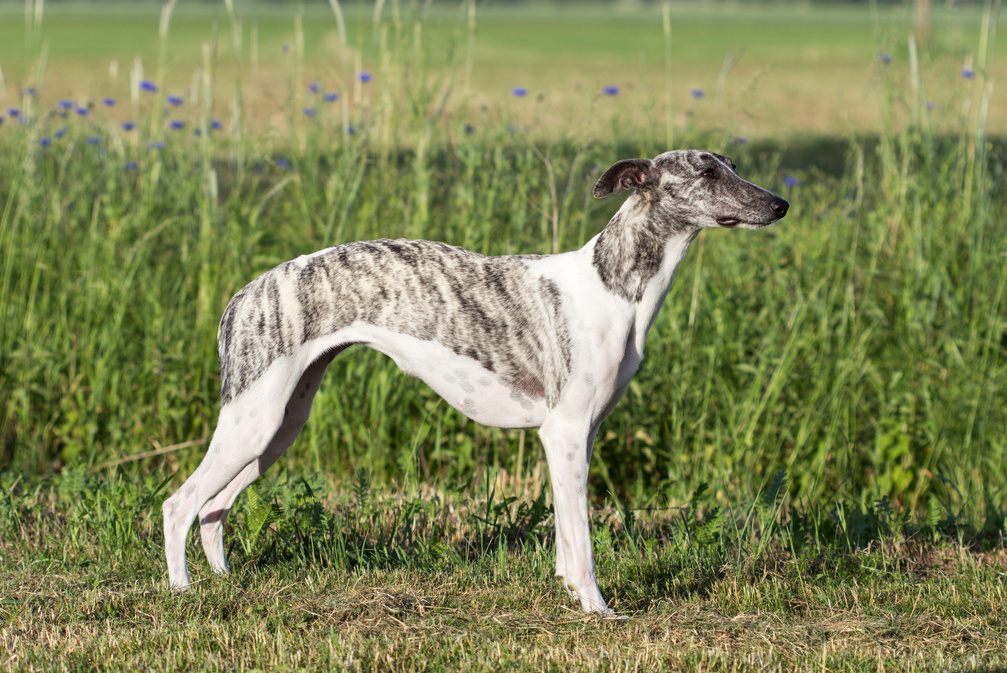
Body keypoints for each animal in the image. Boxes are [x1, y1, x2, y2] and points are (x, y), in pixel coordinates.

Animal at [163, 151, 785, 616]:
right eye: (707, 173)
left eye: (730, 164)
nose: (780, 204)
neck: (613, 284)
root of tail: (243, 294)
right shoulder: (564, 433)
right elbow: (582, 539)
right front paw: (598, 609)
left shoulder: (578, 436)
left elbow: (566, 534)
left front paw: (569, 595)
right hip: (253, 422)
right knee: (179, 504)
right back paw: (182, 591)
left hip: (279, 427)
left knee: (214, 508)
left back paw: (223, 582)